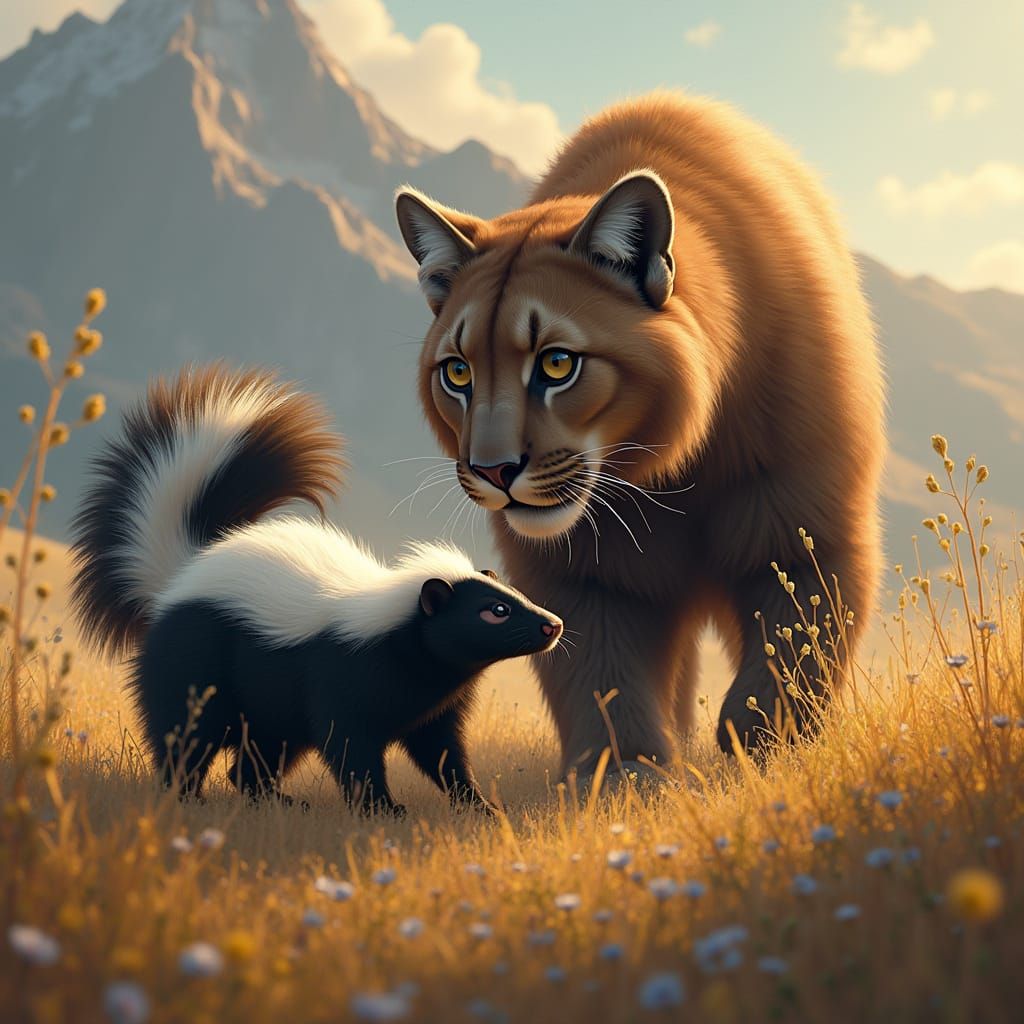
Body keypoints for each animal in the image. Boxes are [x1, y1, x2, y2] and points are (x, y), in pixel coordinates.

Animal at [394, 92, 884, 775]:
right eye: (458, 372)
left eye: (557, 363)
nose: (494, 471)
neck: (669, 469)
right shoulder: (582, 573)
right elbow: (602, 680)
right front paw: (627, 775)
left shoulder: (803, 533)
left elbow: (791, 657)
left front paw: (767, 754)